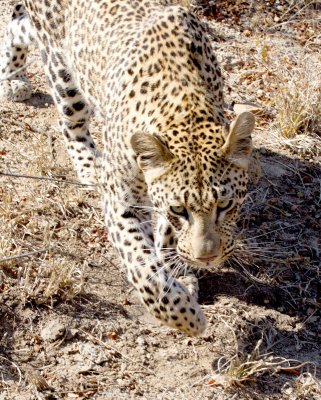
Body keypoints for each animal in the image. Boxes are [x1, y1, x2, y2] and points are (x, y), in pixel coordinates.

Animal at [0, 1, 255, 336]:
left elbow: (166, 239)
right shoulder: (121, 199)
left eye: (225, 205)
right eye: (180, 209)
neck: (185, 107)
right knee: (70, 121)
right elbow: (143, 266)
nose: (208, 258)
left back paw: (11, 75)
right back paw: (86, 162)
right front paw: (187, 317)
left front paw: (178, 271)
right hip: (61, 66)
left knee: (17, 27)